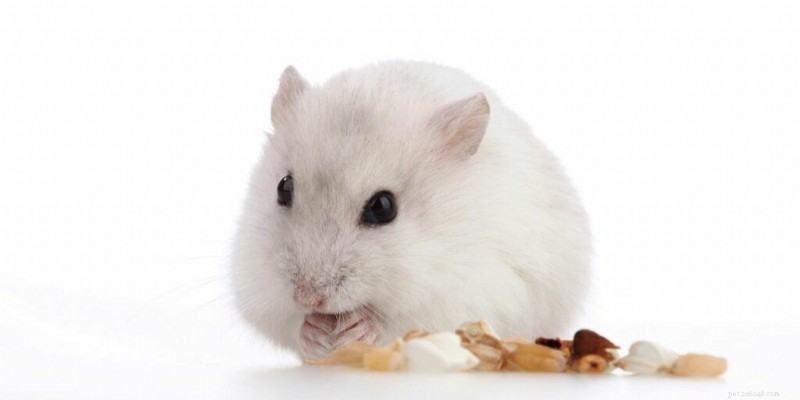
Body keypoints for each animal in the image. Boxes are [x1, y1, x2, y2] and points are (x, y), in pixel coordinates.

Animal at [231, 61, 591, 360]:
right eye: (283, 187)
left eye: (383, 207)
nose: (307, 298)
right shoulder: (256, 285)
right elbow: (287, 322)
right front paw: (317, 333)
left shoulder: (461, 292)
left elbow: (397, 321)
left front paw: (357, 328)